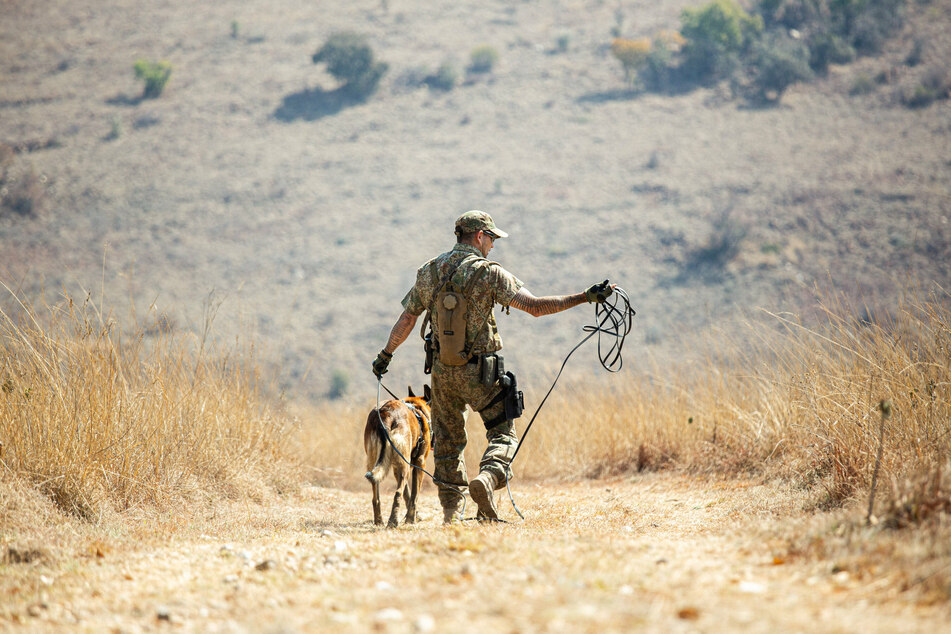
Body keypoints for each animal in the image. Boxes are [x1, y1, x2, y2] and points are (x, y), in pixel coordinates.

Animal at [364, 382, 436, 524]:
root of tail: (386, 413)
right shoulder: (419, 463)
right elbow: (414, 495)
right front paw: (411, 519)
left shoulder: (396, 467)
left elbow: (407, 494)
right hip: (405, 465)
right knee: (397, 492)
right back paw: (393, 521)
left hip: (375, 462)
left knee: (376, 495)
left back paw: (379, 521)